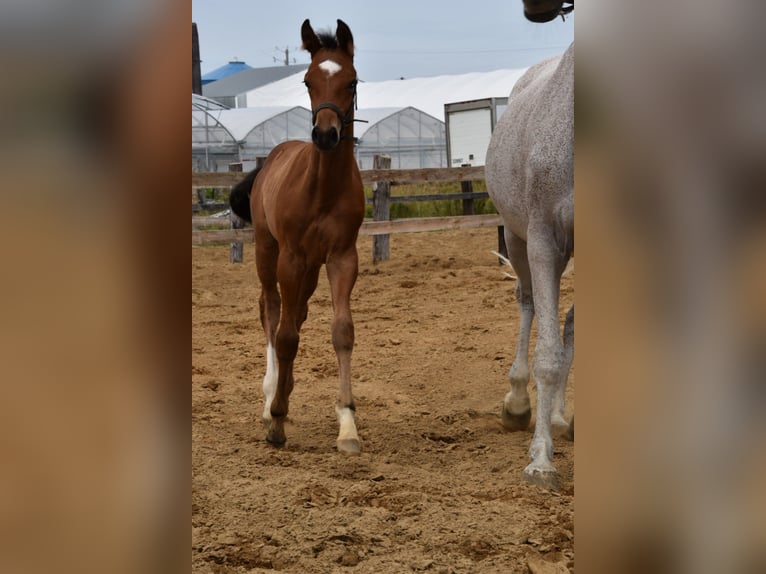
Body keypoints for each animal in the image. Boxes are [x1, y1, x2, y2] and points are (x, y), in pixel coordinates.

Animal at [228, 19, 366, 454]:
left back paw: (284, 393)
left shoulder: (342, 258)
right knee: (272, 311)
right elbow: (285, 335)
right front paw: (275, 420)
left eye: (352, 82)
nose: (325, 134)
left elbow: (342, 332)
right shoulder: (290, 256)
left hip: (310, 267)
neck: (322, 190)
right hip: (268, 251)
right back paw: (270, 396)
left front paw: (347, 425)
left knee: (297, 313)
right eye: (307, 81)